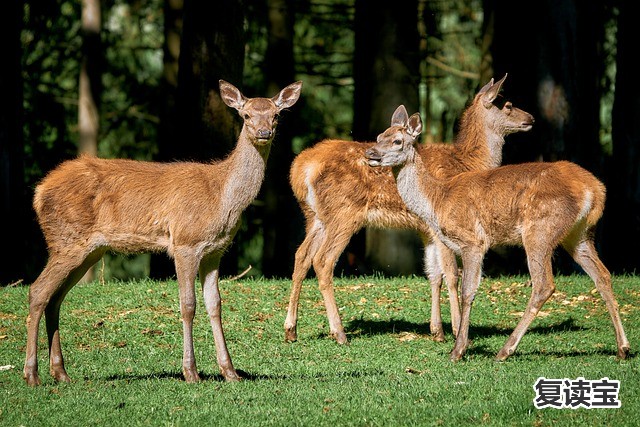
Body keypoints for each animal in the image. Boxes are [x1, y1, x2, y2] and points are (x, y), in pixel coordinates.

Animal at [23, 78, 304, 386]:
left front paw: (230, 372)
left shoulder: (215, 251)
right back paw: (32, 374)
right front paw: (191, 372)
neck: (221, 197)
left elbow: (215, 304)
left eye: (276, 115)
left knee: (55, 297)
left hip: (89, 250)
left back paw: (61, 373)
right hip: (67, 239)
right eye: (246, 115)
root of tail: (38, 191)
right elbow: (188, 305)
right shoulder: (185, 242)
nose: (264, 132)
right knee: (38, 291)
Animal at [286, 74, 536, 344]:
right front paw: (457, 329)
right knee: (323, 261)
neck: (469, 162)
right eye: (507, 104)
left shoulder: (426, 230)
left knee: (301, 256)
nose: (531, 118)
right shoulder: (442, 225)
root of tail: (301, 168)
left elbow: (433, 274)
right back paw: (339, 332)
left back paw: (291, 330)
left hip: (314, 216)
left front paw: (437, 331)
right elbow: (452, 274)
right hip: (343, 213)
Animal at [364, 103, 632, 362]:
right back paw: (623, 348)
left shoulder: (473, 241)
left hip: (540, 229)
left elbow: (468, 290)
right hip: (579, 234)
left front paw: (458, 349)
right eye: (378, 137)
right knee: (603, 275)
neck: (437, 200)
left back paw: (505, 350)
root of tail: (595, 190)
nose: (370, 153)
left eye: (397, 141)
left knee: (544, 284)